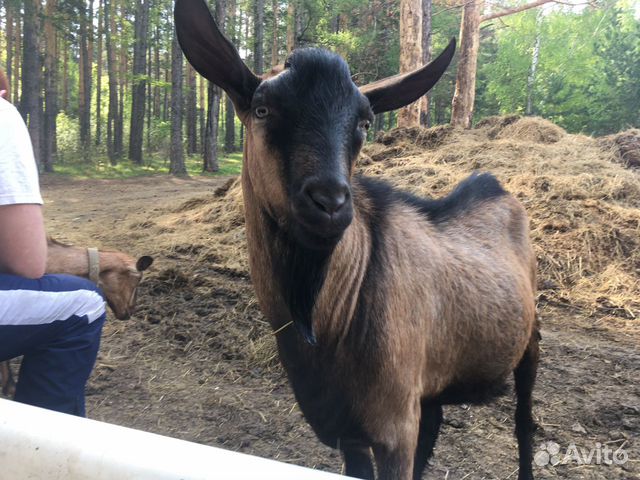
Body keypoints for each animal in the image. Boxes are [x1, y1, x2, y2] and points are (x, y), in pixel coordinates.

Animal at [175, 0, 540, 480]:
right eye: (262, 109)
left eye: (364, 123)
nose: (330, 201)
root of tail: (495, 185)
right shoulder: (349, 430)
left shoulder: (394, 426)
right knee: (437, 421)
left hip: (531, 339)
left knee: (524, 422)